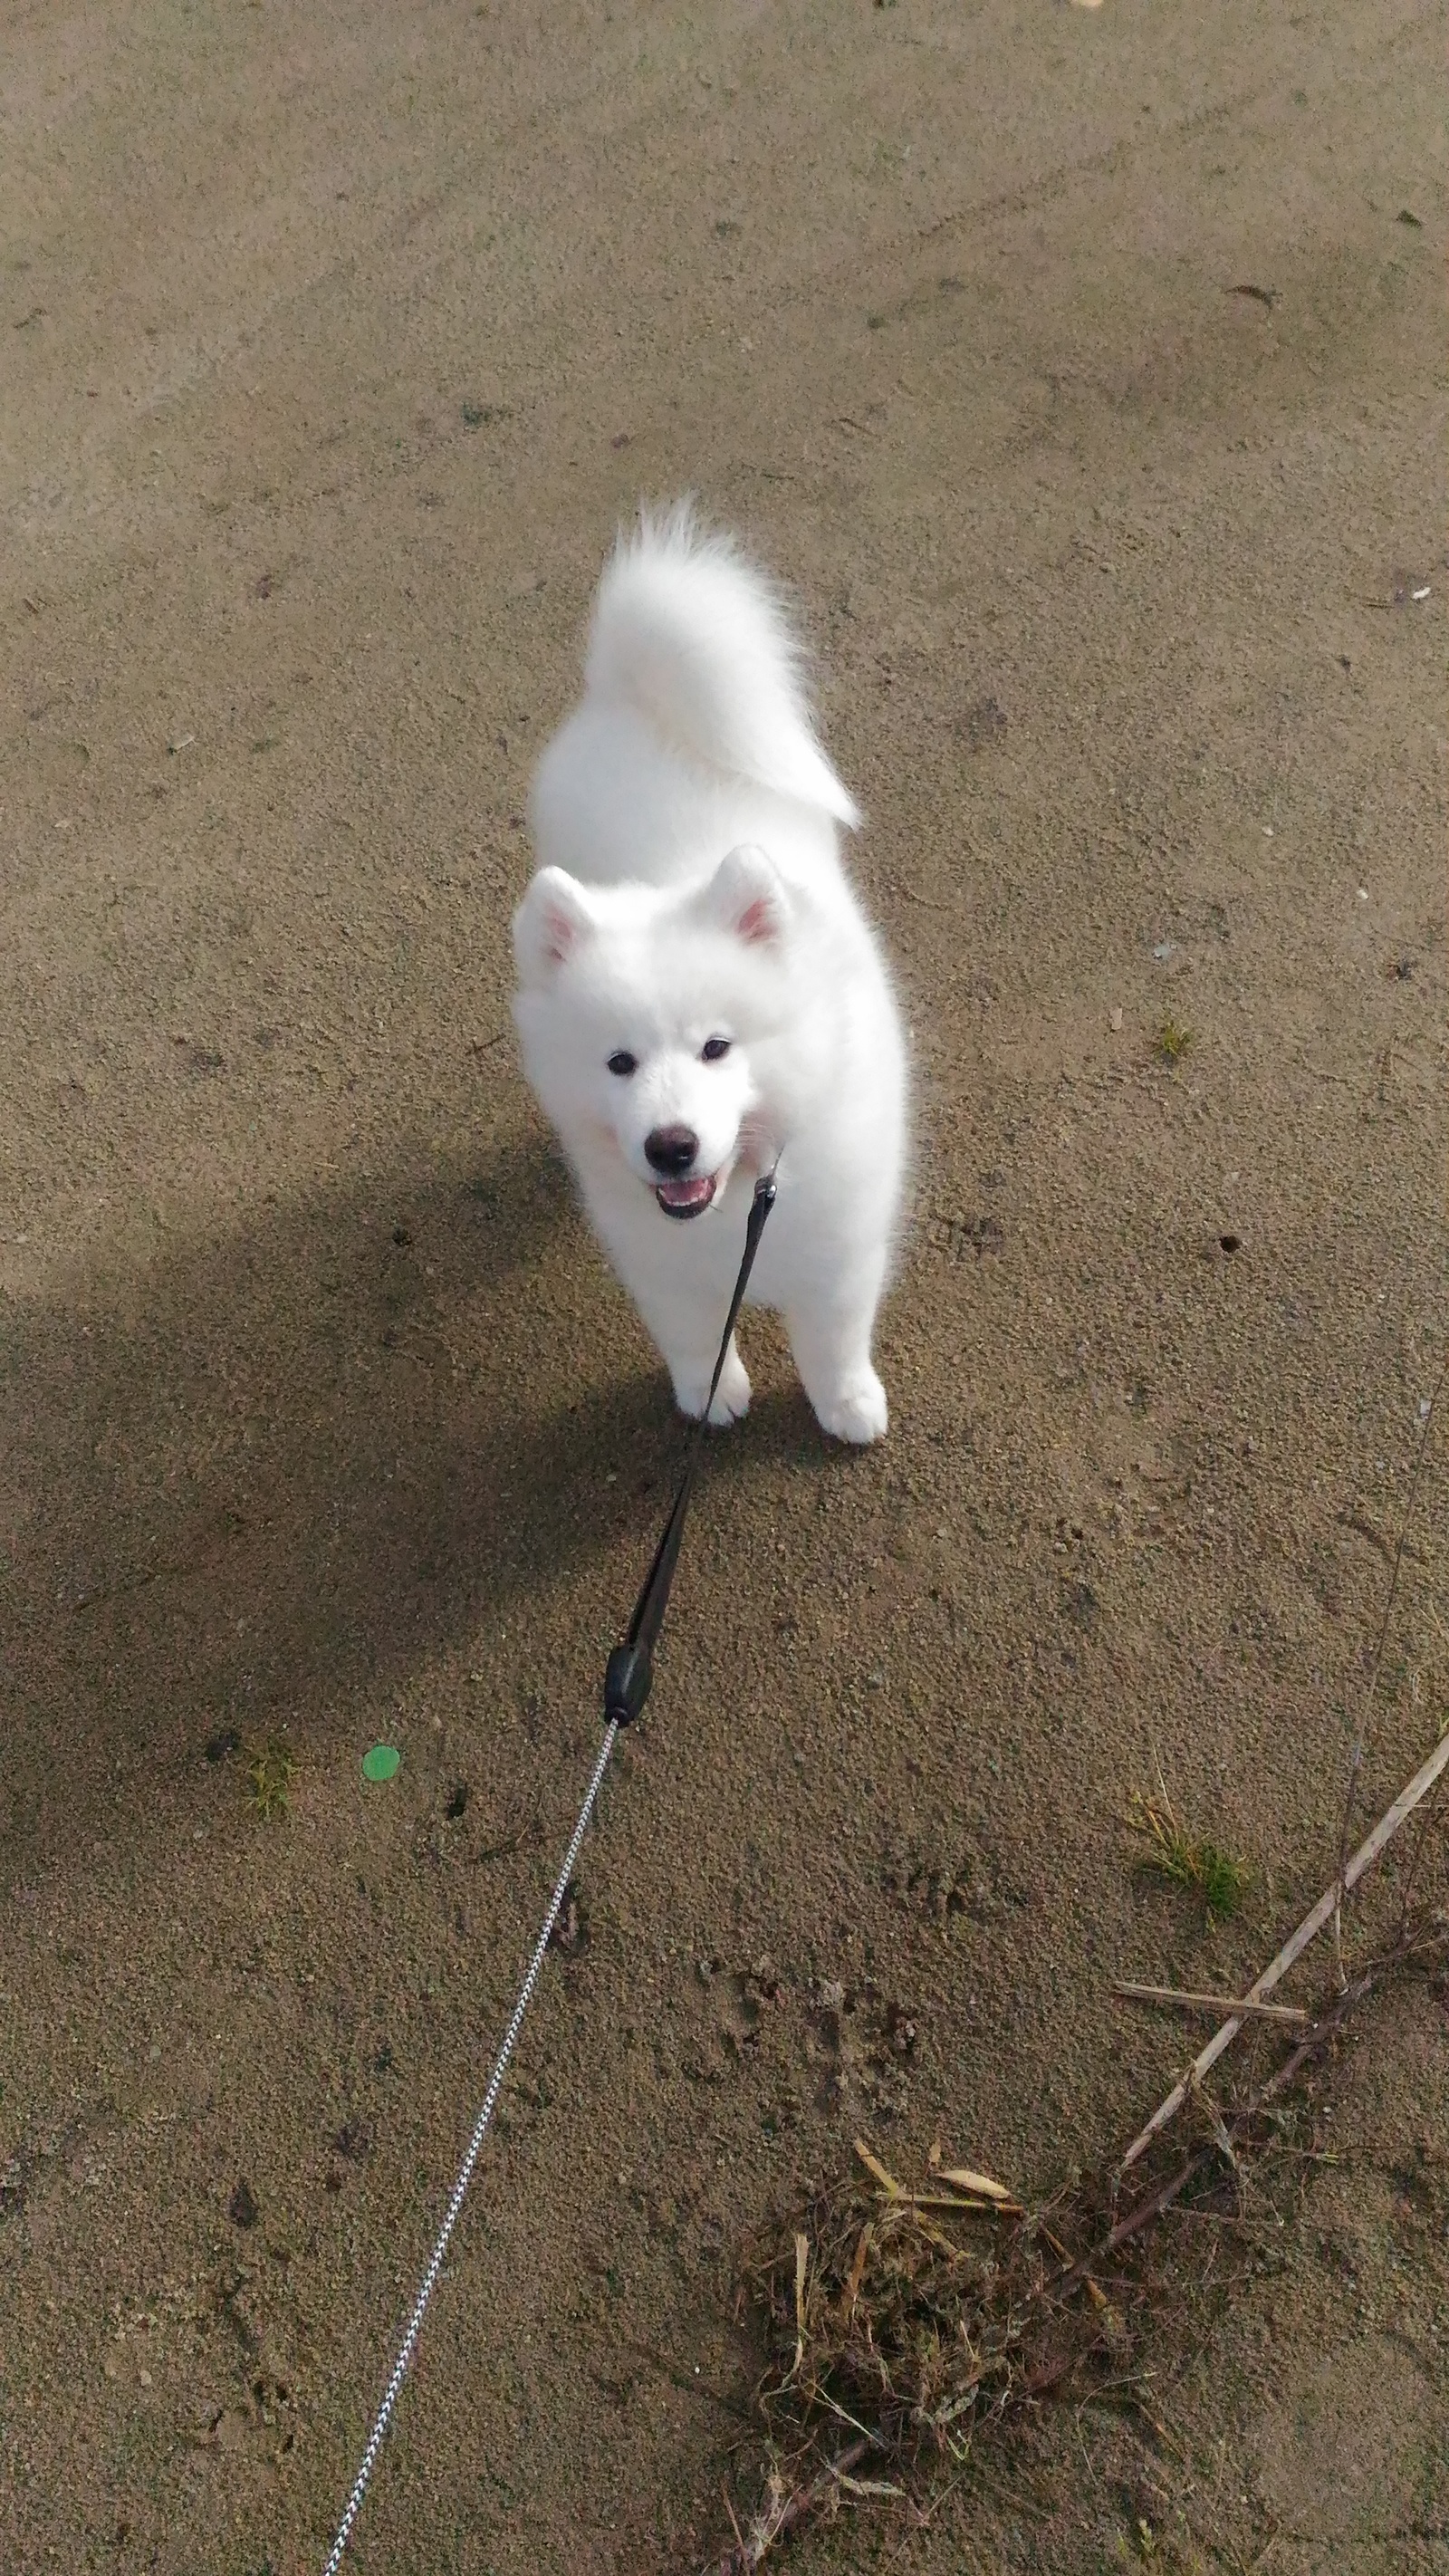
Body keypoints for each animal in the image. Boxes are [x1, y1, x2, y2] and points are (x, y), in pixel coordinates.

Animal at [512, 496, 906, 1432]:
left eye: (717, 1048)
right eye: (619, 1063)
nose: (670, 1147)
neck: (738, 1199)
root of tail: (632, 693)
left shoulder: (840, 1253)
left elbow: (832, 1341)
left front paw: (846, 1405)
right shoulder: (662, 1269)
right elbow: (694, 1338)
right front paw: (710, 1394)